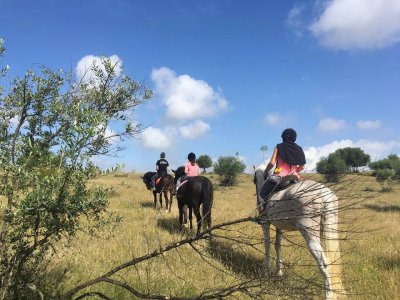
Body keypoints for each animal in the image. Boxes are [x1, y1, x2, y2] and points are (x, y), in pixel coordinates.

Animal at [255, 166, 346, 300]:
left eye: (254, 179)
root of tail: (323, 193)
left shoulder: (265, 224)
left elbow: (267, 246)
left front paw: (266, 272)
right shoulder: (279, 227)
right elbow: (278, 246)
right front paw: (279, 271)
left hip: (310, 235)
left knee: (324, 262)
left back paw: (328, 295)